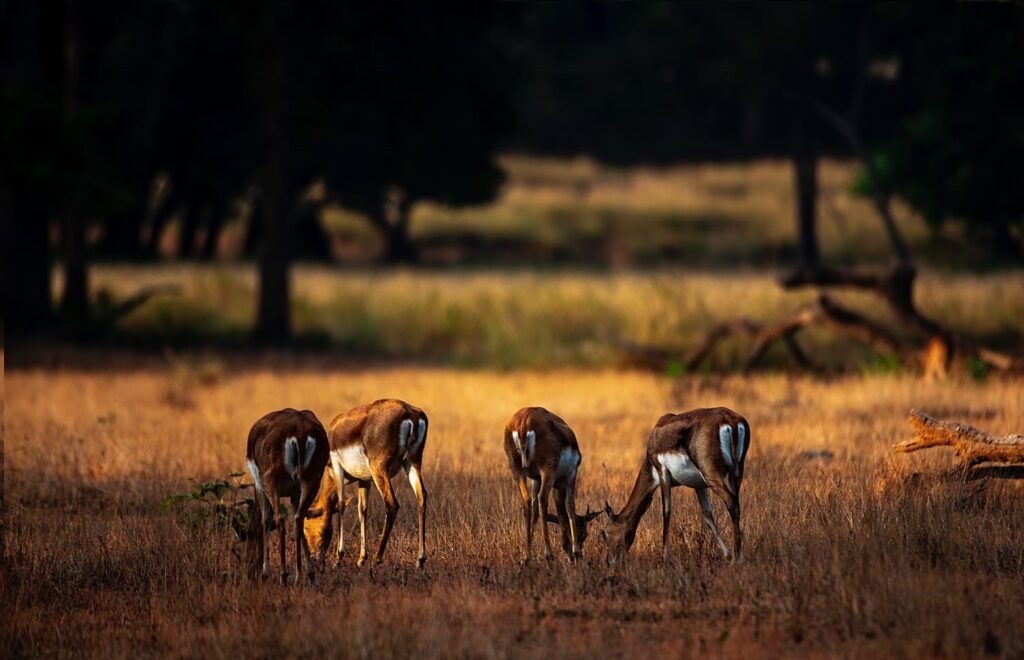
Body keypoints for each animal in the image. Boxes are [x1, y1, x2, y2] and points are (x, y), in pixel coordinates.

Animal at [243, 409, 327, 585]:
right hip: (312, 478)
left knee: (279, 519)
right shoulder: (295, 493)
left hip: (271, 478)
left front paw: (265, 573)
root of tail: (300, 434)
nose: (248, 573)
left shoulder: (258, 484)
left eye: (248, 534)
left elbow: (266, 519)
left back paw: (283, 575)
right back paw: (303, 575)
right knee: (299, 518)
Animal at [325, 399, 425, 564]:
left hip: (379, 470)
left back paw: (377, 558)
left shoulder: (337, 467)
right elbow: (362, 510)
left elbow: (341, 505)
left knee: (392, 504)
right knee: (422, 498)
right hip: (413, 462)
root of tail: (409, 412)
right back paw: (420, 560)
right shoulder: (364, 480)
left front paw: (338, 557)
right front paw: (361, 559)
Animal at [501, 403, 598, 564]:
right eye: (585, 534)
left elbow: (535, 511)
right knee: (542, 499)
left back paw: (527, 557)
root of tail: (524, 421)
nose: (577, 558)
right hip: (548, 471)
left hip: (517, 470)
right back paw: (549, 554)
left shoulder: (536, 479)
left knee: (527, 501)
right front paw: (575, 551)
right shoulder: (570, 475)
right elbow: (569, 506)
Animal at [598, 407, 753, 564]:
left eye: (604, 533)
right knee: (736, 502)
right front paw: (727, 554)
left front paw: (664, 558)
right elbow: (707, 515)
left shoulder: (662, 474)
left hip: (712, 475)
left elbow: (666, 511)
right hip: (736, 473)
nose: (609, 561)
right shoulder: (698, 485)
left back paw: (737, 559)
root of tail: (729, 420)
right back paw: (737, 556)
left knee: (731, 501)